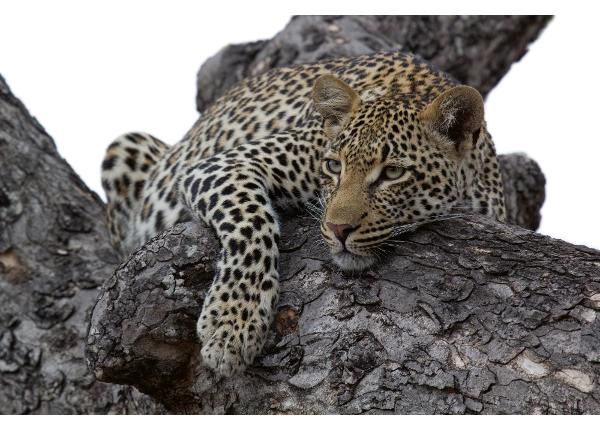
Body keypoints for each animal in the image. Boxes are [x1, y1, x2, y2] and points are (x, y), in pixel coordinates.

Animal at [102, 51, 506, 376]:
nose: (338, 229)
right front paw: (231, 326)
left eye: (392, 173)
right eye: (333, 166)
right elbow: (252, 224)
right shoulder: (221, 165)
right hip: (124, 146)